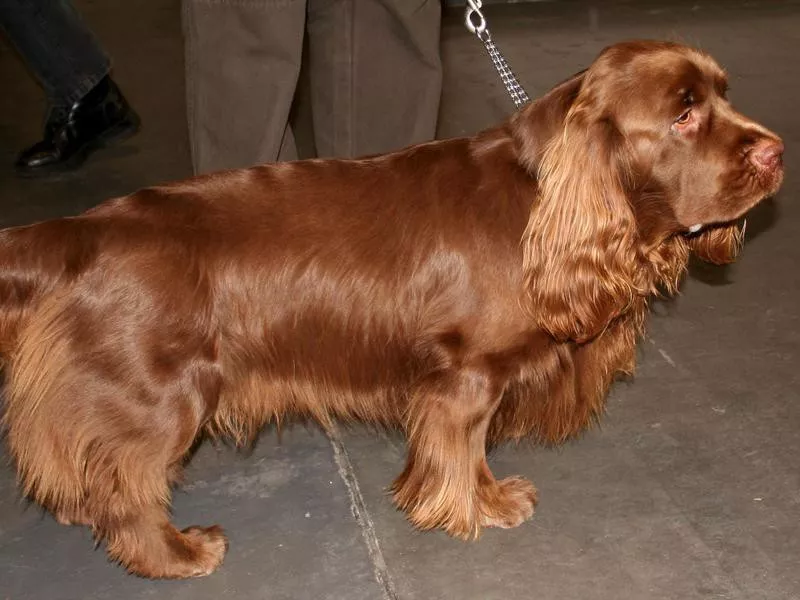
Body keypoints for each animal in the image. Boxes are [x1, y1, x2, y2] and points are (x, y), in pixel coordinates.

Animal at [0, 41, 784, 576]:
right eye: (682, 113)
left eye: (721, 94)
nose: (777, 153)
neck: (542, 194)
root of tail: (80, 229)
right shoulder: (466, 376)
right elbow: (463, 447)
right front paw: (482, 507)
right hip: (162, 393)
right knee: (126, 483)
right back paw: (178, 554)